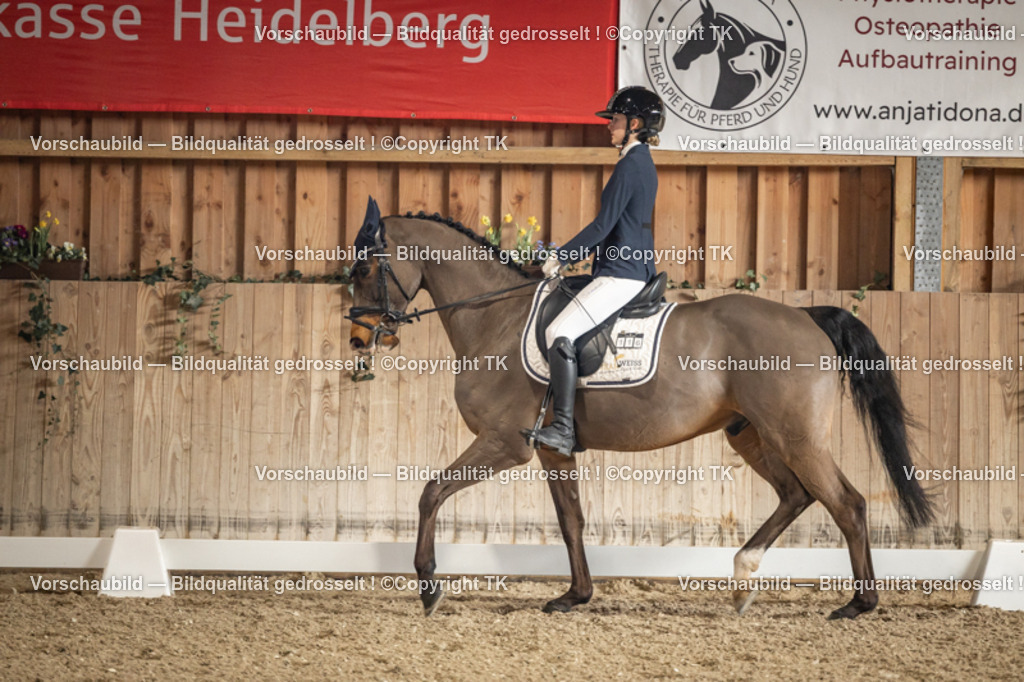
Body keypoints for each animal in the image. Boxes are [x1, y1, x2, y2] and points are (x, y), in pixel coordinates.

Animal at [346, 206, 934, 621]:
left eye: (368, 267)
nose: (358, 338)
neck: (496, 318)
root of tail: (808, 316)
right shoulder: (550, 451)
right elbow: (571, 520)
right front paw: (576, 595)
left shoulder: (504, 444)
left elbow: (431, 492)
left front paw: (428, 586)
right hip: (750, 435)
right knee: (797, 495)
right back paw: (743, 581)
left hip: (797, 437)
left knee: (847, 504)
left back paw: (857, 604)